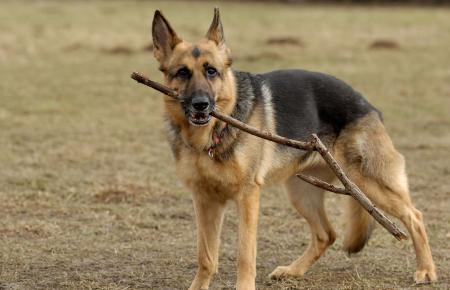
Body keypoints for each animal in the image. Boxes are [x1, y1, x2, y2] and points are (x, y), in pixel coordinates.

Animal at [150, 7, 436, 288]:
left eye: (211, 71)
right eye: (182, 72)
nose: (201, 105)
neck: (211, 137)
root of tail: (368, 105)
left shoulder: (248, 197)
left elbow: (245, 254)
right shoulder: (205, 200)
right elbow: (206, 257)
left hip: (368, 183)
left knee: (415, 216)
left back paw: (426, 270)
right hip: (302, 191)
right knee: (326, 234)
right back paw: (293, 271)